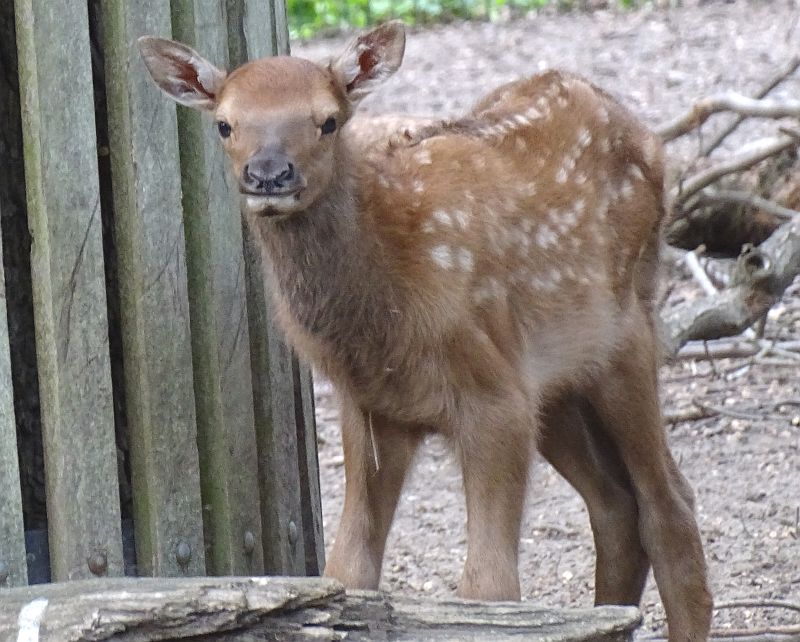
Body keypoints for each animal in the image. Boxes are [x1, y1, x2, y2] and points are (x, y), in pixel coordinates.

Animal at [139, 22, 712, 636]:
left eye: (329, 120)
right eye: (225, 123)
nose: (269, 174)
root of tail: (649, 137)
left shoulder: (494, 394)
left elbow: (489, 589)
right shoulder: (373, 406)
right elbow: (348, 571)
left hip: (625, 335)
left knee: (670, 503)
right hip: (557, 379)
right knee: (615, 504)